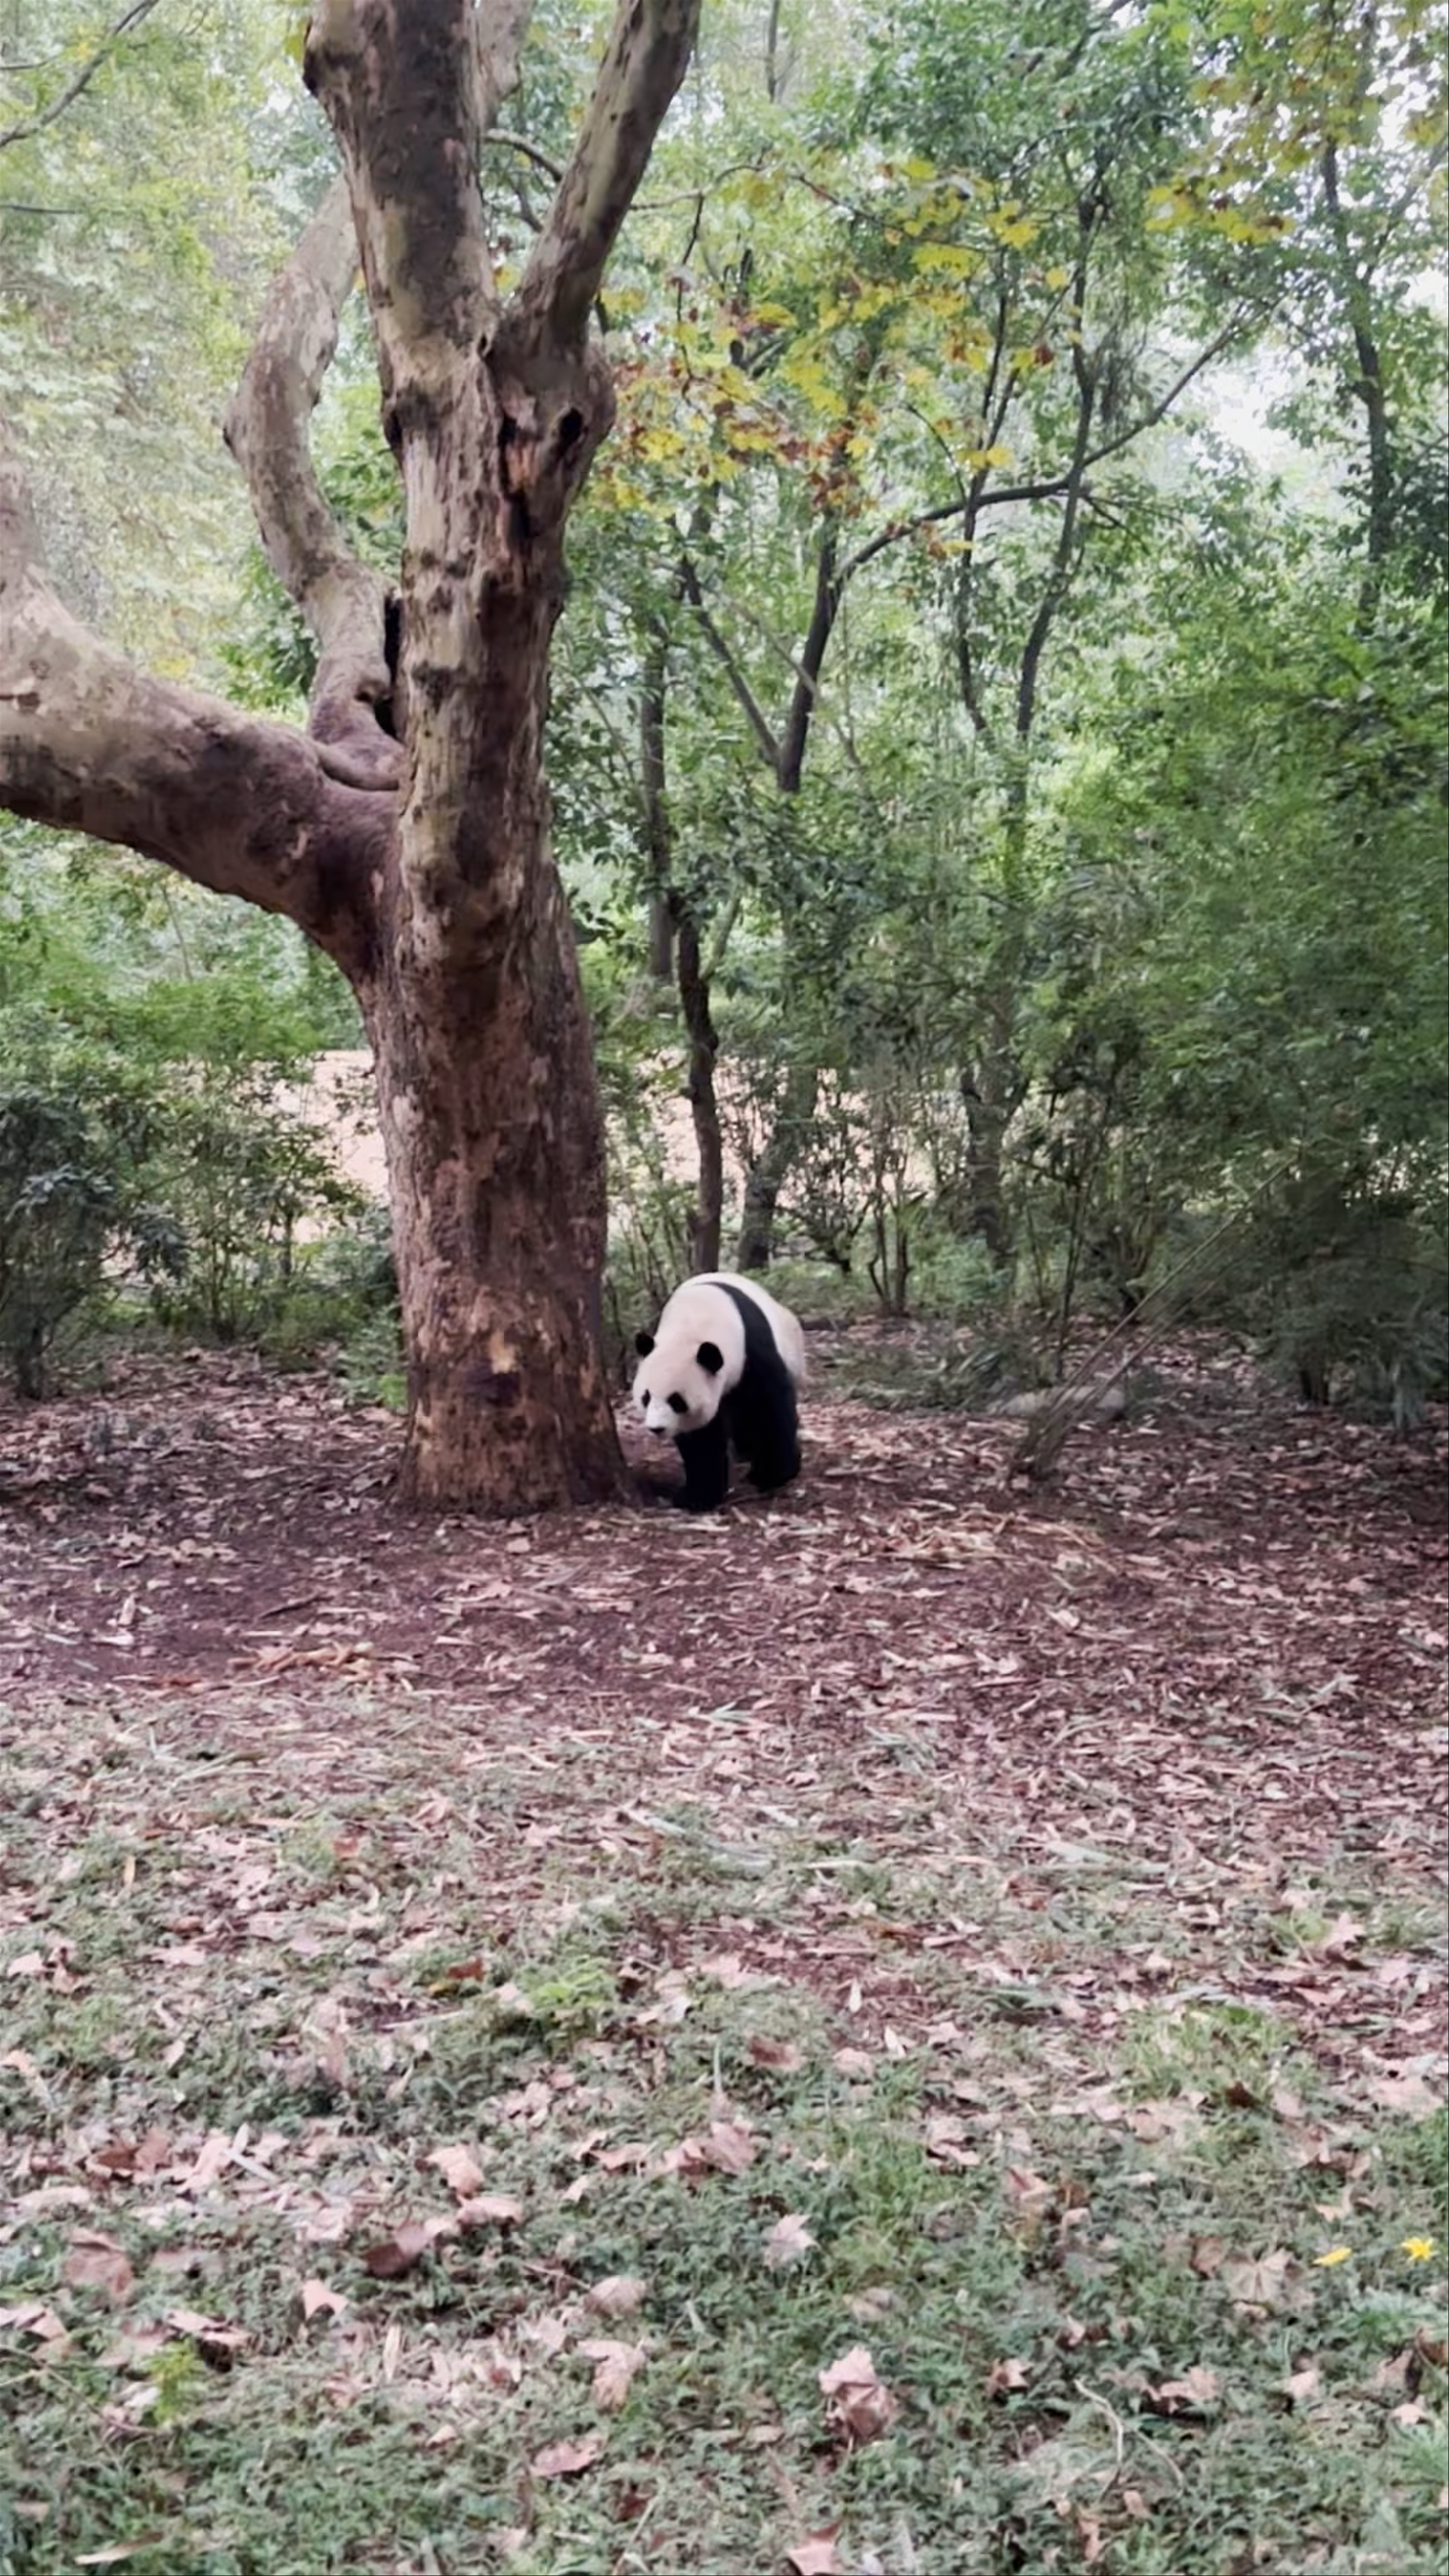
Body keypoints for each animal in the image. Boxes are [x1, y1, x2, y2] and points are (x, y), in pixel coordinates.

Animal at [632, 1271, 806, 1513]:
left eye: (677, 1401)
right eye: (646, 1397)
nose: (657, 1429)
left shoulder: (752, 1347)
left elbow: (769, 1405)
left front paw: (773, 1475)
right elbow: (702, 1437)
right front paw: (697, 1496)